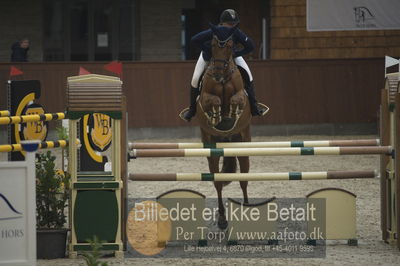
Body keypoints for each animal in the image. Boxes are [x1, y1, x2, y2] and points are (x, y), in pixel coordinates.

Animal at [195, 25, 252, 229]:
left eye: (229, 45)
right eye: (212, 45)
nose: (218, 73)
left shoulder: (241, 95)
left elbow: (236, 99)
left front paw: (232, 113)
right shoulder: (205, 98)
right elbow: (214, 100)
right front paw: (216, 115)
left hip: (243, 145)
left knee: (244, 180)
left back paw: (247, 209)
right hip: (212, 149)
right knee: (218, 183)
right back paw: (222, 219)